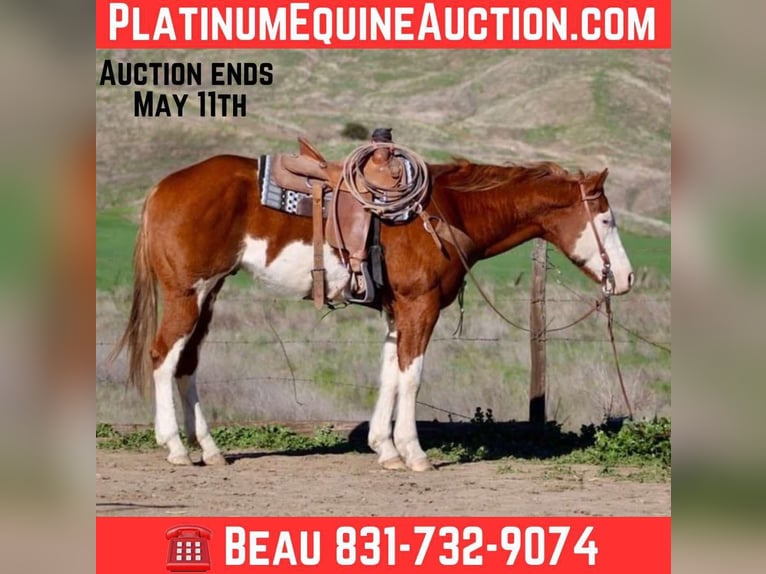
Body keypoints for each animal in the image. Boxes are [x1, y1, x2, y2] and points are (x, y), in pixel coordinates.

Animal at [113, 154, 634, 471]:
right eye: (607, 219)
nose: (627, 278)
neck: (447, 212)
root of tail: (162, 187)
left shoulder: (396, 311)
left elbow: (390, 374)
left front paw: (384, 449)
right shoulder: (420, 306)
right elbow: (412, 376)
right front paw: (413, 453)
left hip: (209, 294)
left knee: (187, 364)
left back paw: (210, 449)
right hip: (187, 293)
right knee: (163, 357)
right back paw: (175, 447)